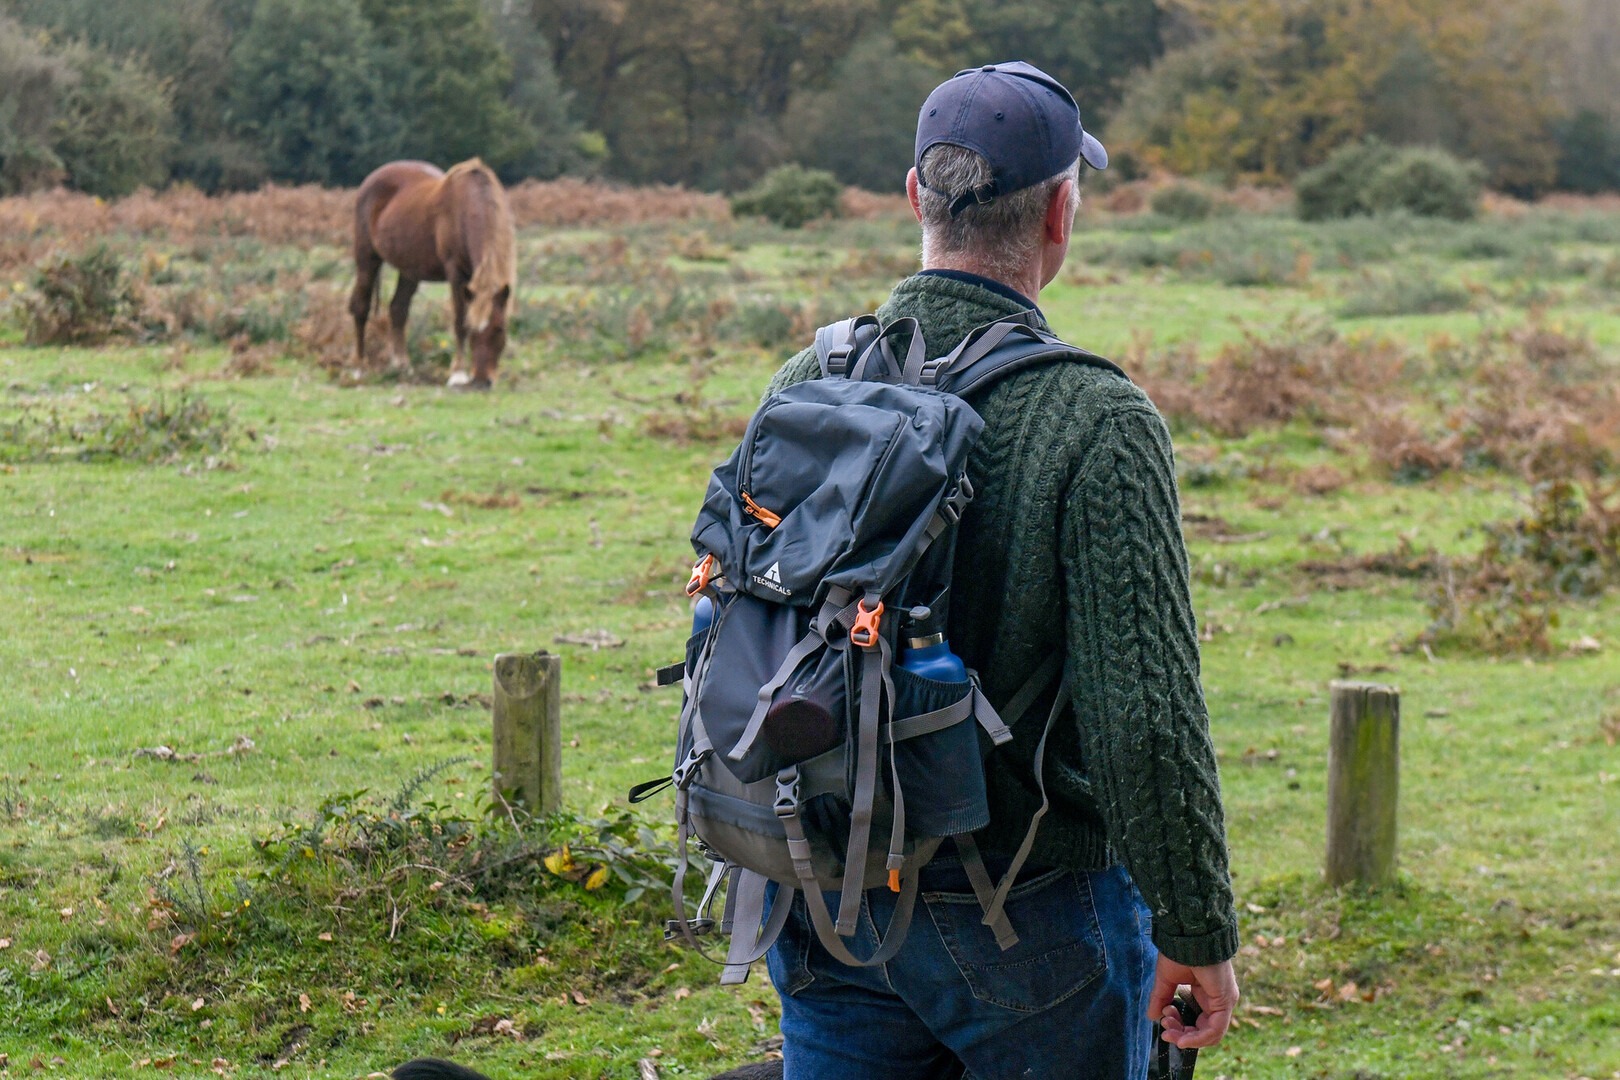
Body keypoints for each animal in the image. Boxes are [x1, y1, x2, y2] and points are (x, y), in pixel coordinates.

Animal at [349, 158, 517, 389]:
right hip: (367, 259)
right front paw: (457, 374)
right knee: (361, 307)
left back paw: (403, 366)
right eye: (473, 329)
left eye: (500, 329)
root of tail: (370, 180)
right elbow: (459, 320)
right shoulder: (456, 273)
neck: (471, 205)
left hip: (409, 270)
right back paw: (359, 368)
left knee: (398, 309)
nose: (482, 381)